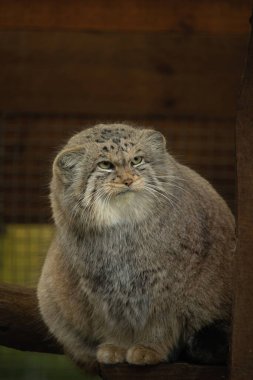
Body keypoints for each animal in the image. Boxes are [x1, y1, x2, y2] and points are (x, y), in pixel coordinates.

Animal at [37, 123, 235, 372]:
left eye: (137, 160)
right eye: (105, 165)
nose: (129, 180)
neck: (123, 232)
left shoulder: (170, 285)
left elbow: (160, 322)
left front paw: (150, 348)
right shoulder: (101, 289)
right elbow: (114, 323)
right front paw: (116, 347)